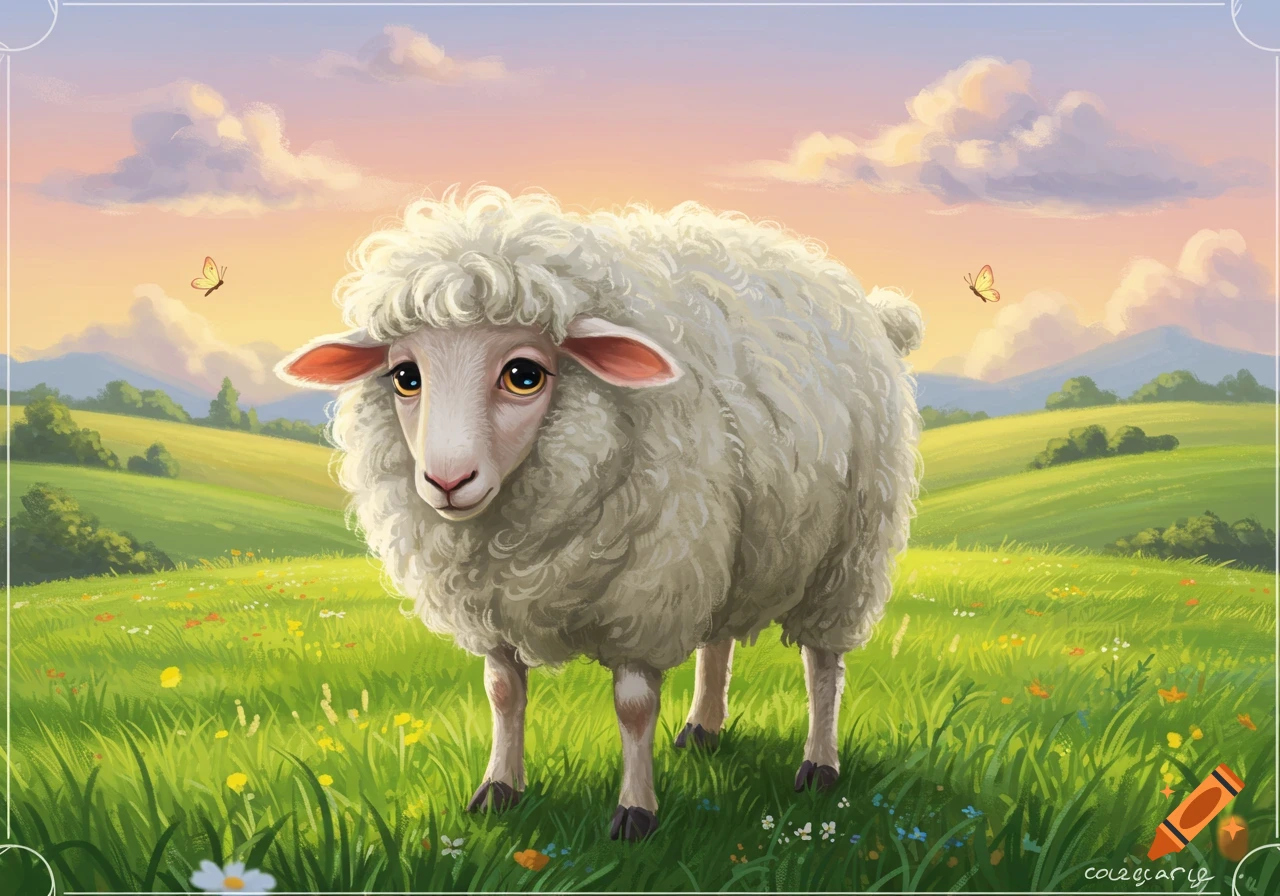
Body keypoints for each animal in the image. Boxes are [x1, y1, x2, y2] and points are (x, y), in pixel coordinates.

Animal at [277, 186, 924, 841]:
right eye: (405, 376)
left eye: (524, 375)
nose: (447, 481)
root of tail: (868, 308)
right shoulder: (495, 607)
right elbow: (502, 693)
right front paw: (498, 789)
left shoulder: (644, 596)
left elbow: (633, 708)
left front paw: (635, 813)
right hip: (724, 536)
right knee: (718, 637)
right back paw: (703, 729)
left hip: (846, 550)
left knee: (824, 664)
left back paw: (819, 764)